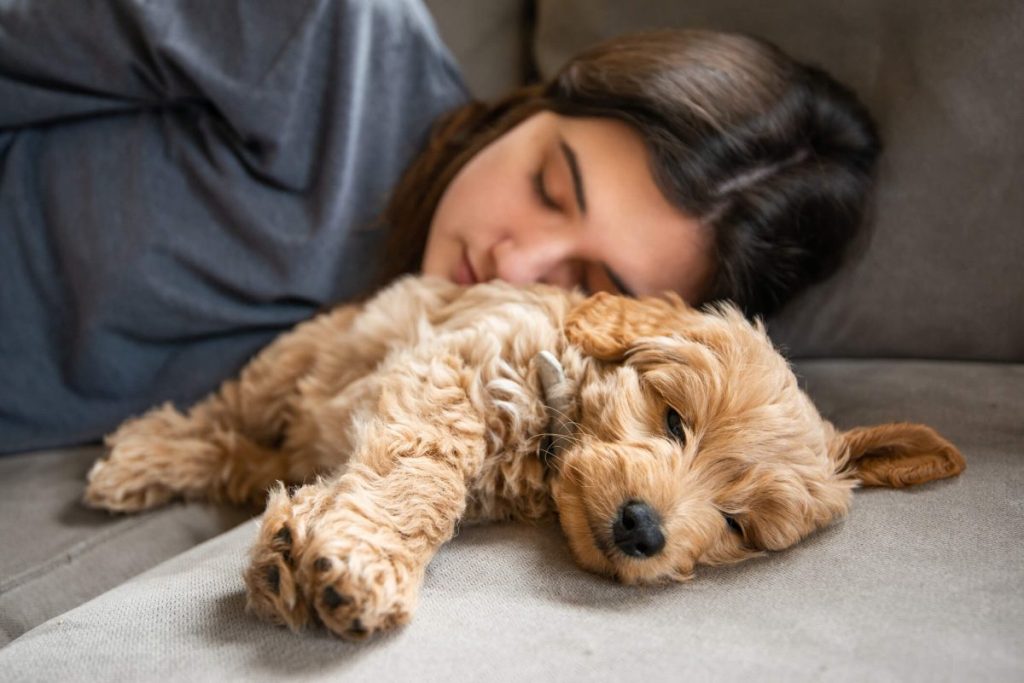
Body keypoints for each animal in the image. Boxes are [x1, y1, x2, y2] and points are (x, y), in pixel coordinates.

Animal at [83, 272, 962, 643]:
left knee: (245, 456)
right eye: (674, 419)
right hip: (300, 359)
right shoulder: (454, 370)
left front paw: (303, 554)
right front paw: (362, 564)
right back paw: (141, 456)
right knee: (222, 414)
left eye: (739, 525)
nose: (643, 529)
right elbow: (426, 475)